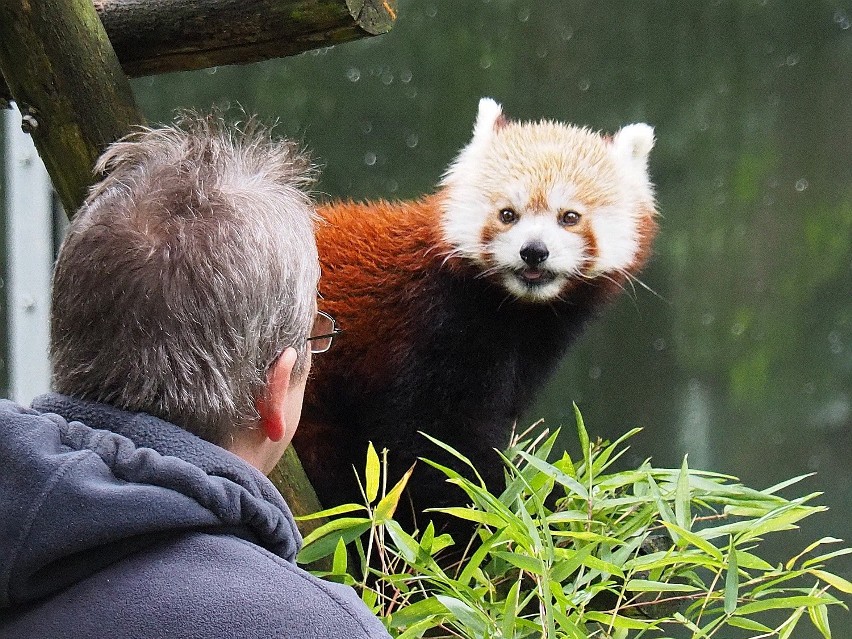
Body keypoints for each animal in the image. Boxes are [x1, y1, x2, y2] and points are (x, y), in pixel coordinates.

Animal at [292, 96, 660, 536]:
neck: (514, 311)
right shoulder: (435, 330)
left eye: (569, 217)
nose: (533, 251)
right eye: (507, 214)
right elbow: (437, 451)